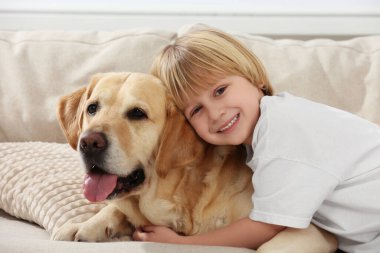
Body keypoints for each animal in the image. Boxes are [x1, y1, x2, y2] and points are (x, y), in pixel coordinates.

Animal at [52, 72, 336, 252]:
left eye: (137, 113)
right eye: (92, 108)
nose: (89, 143)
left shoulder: (312, 232)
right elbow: (113, 208)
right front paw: (82, 226)